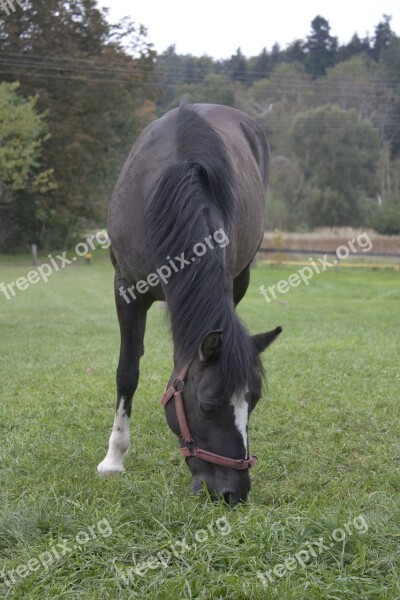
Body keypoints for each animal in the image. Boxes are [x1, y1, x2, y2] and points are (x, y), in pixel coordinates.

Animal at [97, 101, 282, 504]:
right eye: (208, 408)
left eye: (254, 402)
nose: (234, 493)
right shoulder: (126, 290)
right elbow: (127, 371)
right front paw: (114, 457)